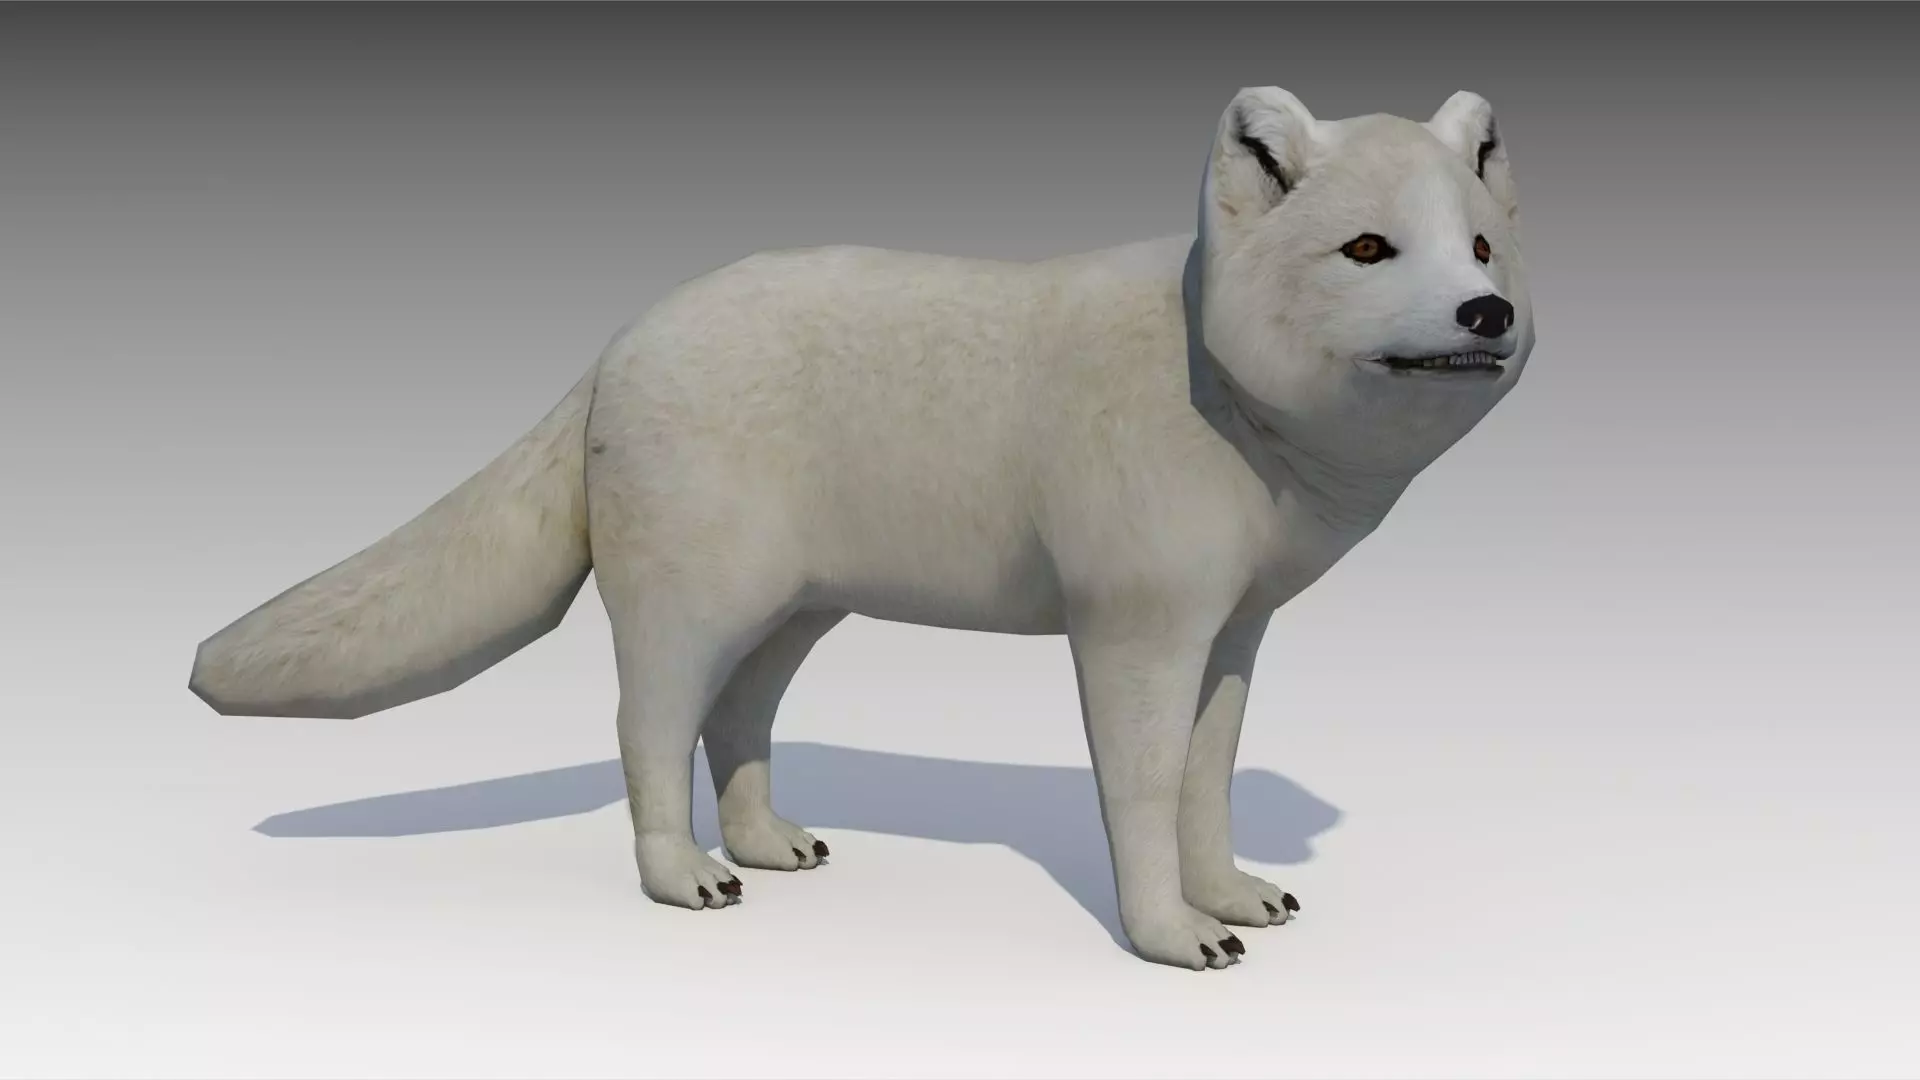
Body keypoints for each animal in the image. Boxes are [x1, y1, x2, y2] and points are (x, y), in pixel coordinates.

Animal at [190, 87, 1536, 971]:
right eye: (1368, 248)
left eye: (1478, 244)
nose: (1489, 311)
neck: (1226, 392)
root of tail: (623, 339)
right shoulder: (1132, 633)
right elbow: (1145, 790)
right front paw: (1168, 936)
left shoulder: (1234, 633)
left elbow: (1205, 786)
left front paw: (1234, 897)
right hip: (693, 608)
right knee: (646, 727)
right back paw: (682, 875)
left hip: (794, 612)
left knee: (736, 722)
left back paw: (767, 845)